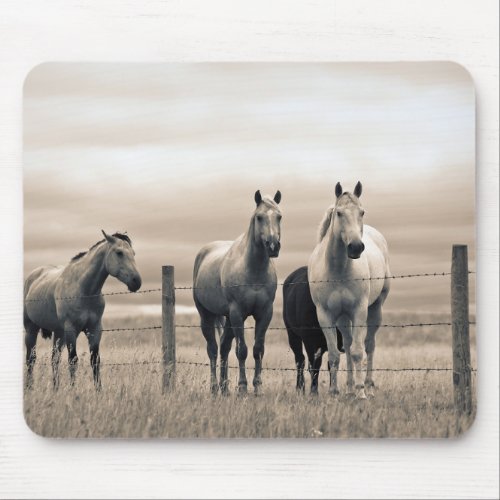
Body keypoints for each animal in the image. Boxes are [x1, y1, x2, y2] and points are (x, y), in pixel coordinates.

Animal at [25, 231, 143, 390]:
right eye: (119, 253)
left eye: (133, 253)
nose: (137, 281)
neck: (84, 290)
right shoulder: (71, 330)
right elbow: (73, 360)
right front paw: (73, 390)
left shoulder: (94, 329)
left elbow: (95, 361)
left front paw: (99, 391)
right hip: (31, 329)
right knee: (31, 359)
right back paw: (29, 388)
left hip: (59, 333)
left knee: (54, 358)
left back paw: (55, 389)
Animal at [308, 182, 390, 400]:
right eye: (339, 213)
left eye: (362, 212)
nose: (356, 247)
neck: (338, 271)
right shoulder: (326, 315)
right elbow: (335, 354)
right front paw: (334, 392)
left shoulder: (359, 310)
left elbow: (357, 352)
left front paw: (361, 394)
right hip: (343, 319)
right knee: (347, 341)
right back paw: (350, 387)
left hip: (374, 309)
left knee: (369, 345)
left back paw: (367, 386)